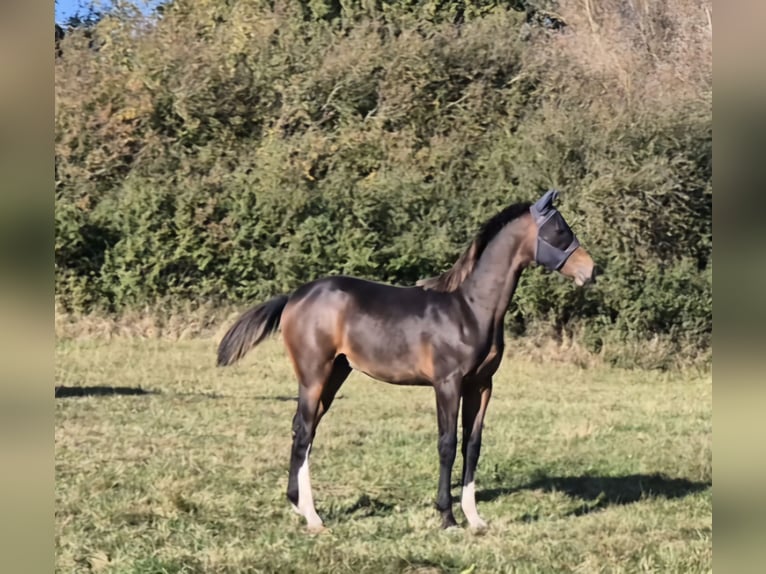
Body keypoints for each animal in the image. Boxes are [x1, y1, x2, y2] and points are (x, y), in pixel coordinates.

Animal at [218, 191, 600, 532]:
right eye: (559, 229)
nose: (591, 270)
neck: (471, 309)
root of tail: (295, 296)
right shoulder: (447, 384)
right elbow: (447, 444)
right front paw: (447, 518)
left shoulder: (481, 385)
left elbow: (472, 445)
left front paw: (475, 519)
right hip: (314, 376)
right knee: (303, 432)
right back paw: (313, 518)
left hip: (335, 374)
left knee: (304, 430)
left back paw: (298, 505)